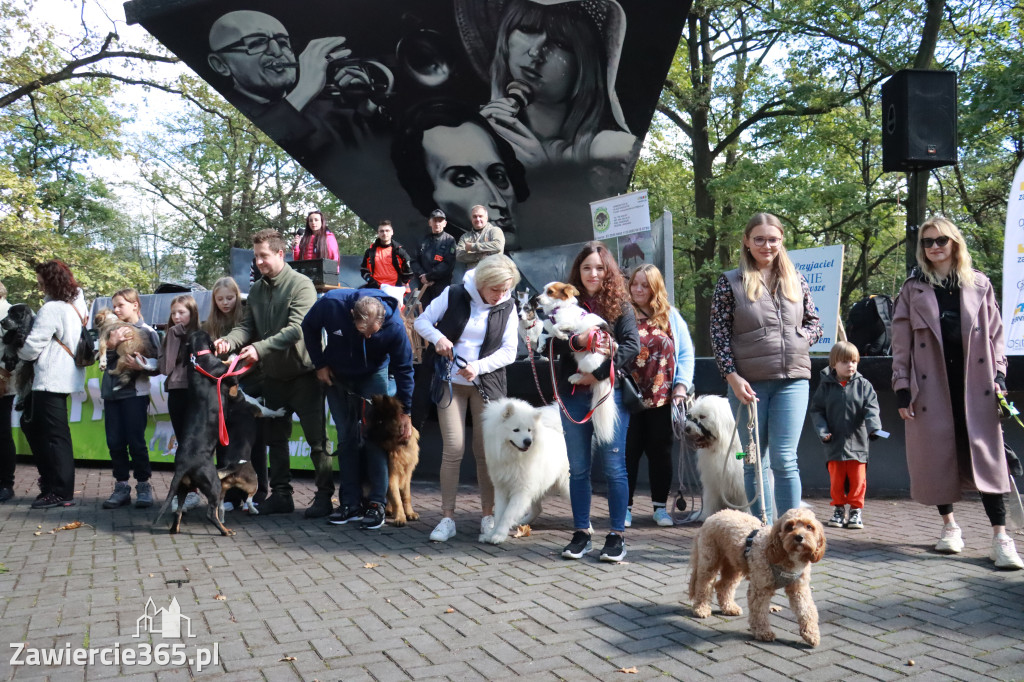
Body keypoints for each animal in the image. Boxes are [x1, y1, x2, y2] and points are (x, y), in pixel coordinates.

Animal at [364, 393, 419, 524]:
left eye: (380, 421)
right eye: (372, 420)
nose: (365, 436)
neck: (398, 446)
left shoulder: (407, 475)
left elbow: (406, 496)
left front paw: (409, 513)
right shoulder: (391, 476)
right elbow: (396, 498)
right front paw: (400, 517)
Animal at [477, 395, 573, 544]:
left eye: (529, 430)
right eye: (516, 430)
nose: (528, 441)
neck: (513, 457)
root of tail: (561, 433)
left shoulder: (521, 490)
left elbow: (507, 514)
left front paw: (499, 535)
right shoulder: (502, 488)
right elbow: (499, 514)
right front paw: (490, 534)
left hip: (565, 485)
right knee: (538, 509)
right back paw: (522, 522)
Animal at [536, 280, 614, 444]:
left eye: (550, 292)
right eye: (543, 290)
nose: (537, 299)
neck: (558, 308)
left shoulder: (569, 324)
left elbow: (556, 327)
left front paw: (563, 335)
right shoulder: (550, 332)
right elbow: (544, 334)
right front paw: (541, 347)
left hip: (589, 360)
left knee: (590, 372)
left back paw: (577, 377)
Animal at [688, 507, 823, 647]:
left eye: (809, 527)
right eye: (789, 527)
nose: (799, 537)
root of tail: (713, 515)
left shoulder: (799, 589)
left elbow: (807, 610)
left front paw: (811, 634)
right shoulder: (760, 588)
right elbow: (759, 612)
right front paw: (763, 632)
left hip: (733, 566)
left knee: (723, 586)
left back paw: (729, 607)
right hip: (709, 561)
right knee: (703, 585)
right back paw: (701, 608)